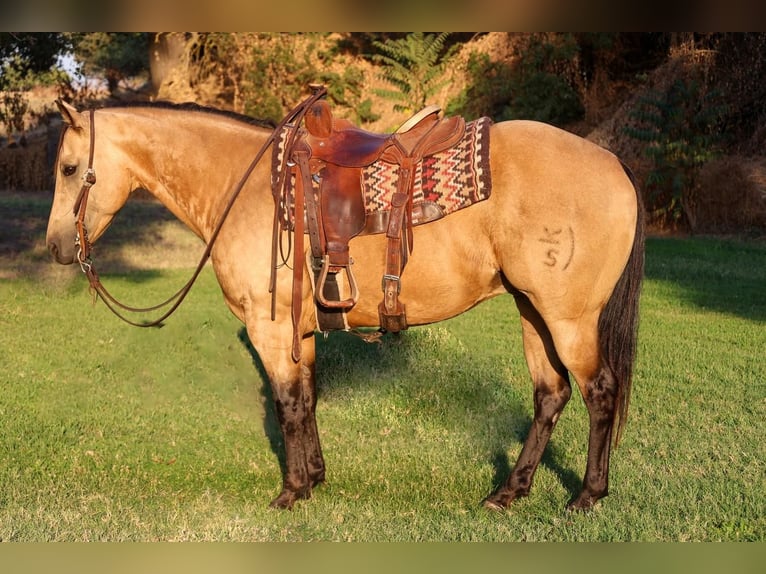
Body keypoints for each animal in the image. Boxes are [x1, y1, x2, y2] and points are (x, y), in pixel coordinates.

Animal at [48, 94, 644, 512]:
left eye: (69, 168)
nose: (55, 247)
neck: (247, 189)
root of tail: (614, 163)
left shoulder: (270, 331)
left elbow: (287, 406)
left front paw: (290, 492)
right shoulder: (300, 334)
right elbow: (308, 400)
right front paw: (314, 479)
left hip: (568, 318)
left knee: (599, 392)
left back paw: (587, 495)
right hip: (532, 312)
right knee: (550, 395)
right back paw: (508, 493)